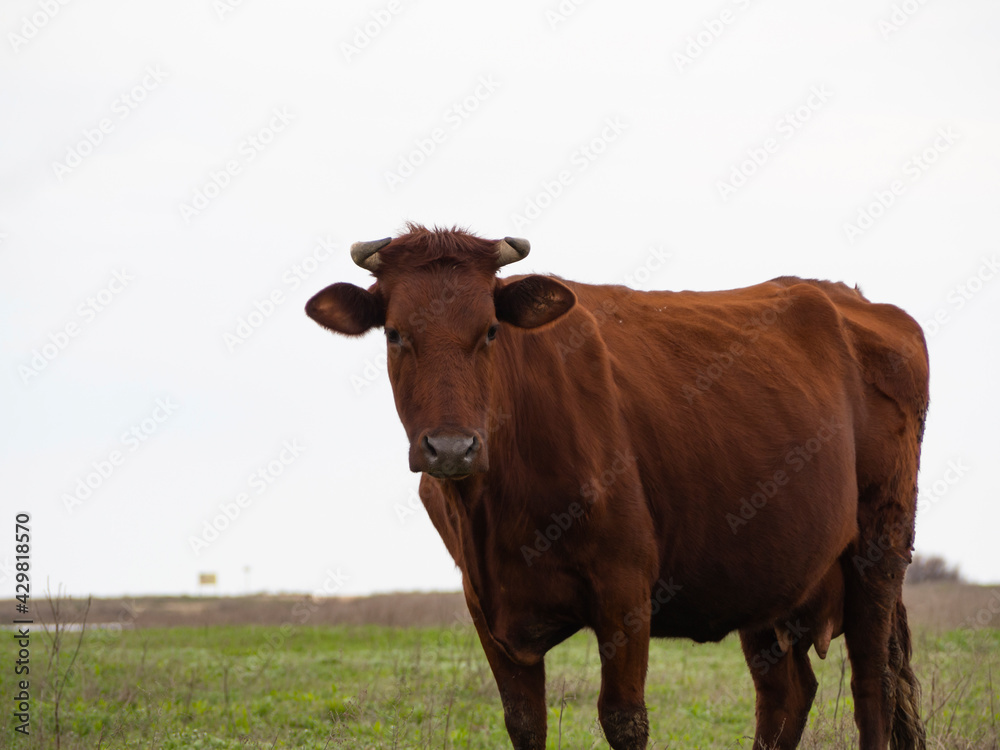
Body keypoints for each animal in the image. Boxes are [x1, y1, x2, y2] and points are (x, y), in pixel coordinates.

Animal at [306, 225, 928, 750]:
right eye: (395, 334)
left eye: (489, 331)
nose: (453, 448)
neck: (495, 509)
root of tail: (852, 299)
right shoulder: (485, 601)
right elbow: (524, 721)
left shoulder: (625, 586)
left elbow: (624, 719)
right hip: (769, 572)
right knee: (786, 695)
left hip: (879, 550)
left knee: (874, 686)